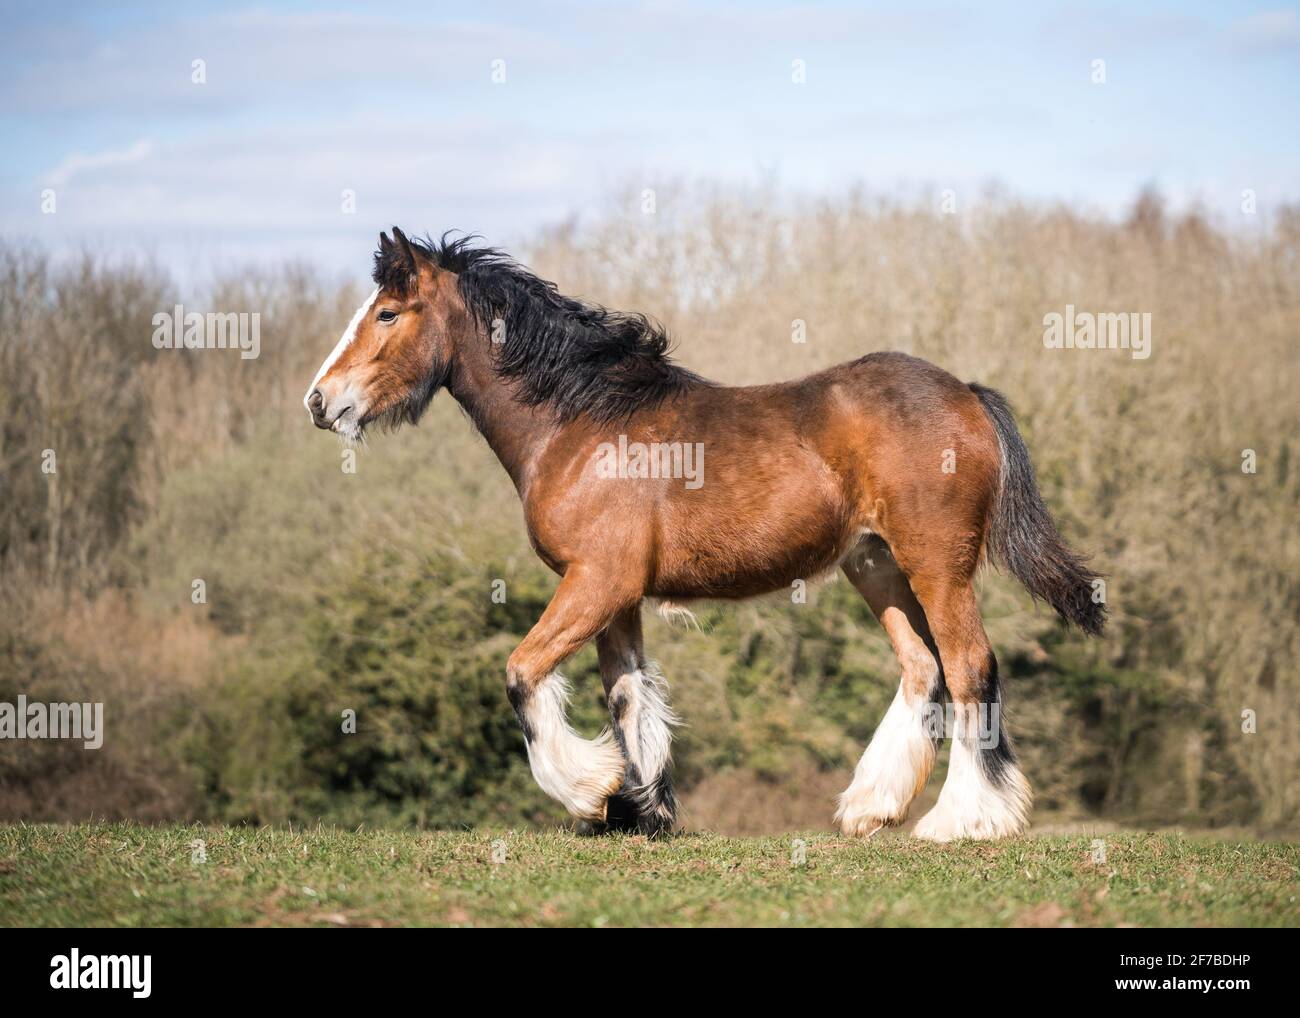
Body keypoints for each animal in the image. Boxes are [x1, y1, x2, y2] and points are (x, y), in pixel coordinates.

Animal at [304, 231, 1107, 842]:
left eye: (387, 313)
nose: (319, 400)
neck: (580, 421)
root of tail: (964, 392)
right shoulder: (615, 596)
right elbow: (628, 696)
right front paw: (640, 812)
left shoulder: (597, 582)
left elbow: (523, 674)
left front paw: (591, 791)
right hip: (875, 565)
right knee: (923, 667)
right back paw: (870, 805)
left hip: (937, 566)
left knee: (970, 667)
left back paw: (963, 819)